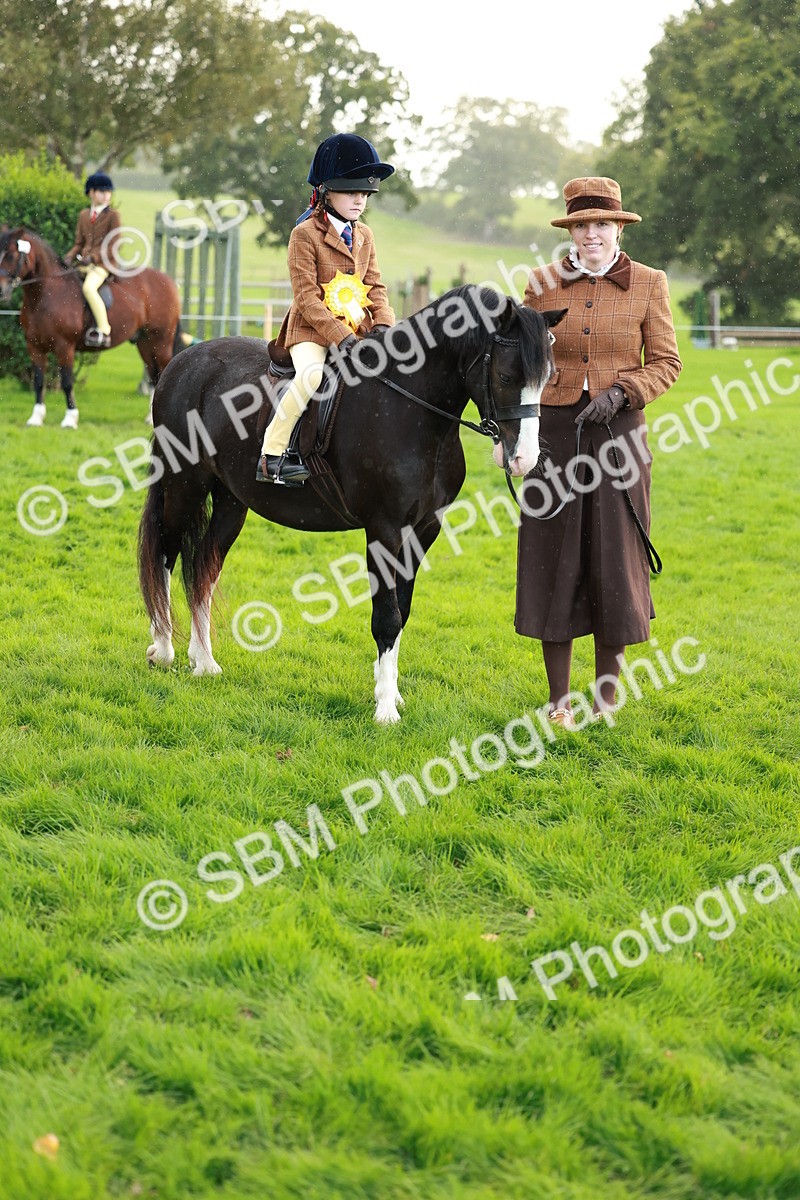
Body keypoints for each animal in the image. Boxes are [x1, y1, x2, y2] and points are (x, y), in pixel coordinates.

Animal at [0, 227, 182, 428]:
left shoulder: (65, 347)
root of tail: (169, 281)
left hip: (161, 340)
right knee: (153, 374)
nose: (1, 291)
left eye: (11, 255)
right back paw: (150, 418)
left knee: (163, 370)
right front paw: (36, 418)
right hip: (144, 343)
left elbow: (66, 382)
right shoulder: (34, 347)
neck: (45, 295)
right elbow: (38, 381)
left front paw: (70, 419)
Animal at [138, 285, 567, 723]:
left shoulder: (423, 531)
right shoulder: (384, 530)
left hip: (231, 501)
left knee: (203, 569)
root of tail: (182, 362)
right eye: (507, 377)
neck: (411, 410)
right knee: (167, 554)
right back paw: (164, 649)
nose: (524, 459)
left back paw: (204, 661)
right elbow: (386, 617)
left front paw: (390, 693)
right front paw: (385, 711)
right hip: (183, 486)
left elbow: (401, 612)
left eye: (548, 378)